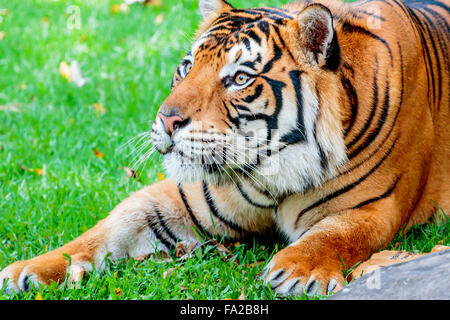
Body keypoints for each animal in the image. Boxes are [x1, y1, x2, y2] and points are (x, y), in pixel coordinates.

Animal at [0, 0, 450, 296]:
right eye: (186, 67)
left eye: (238, 79)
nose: (167, 119)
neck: (271, 173)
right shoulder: (181, 197)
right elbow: (103, 231)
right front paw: (27, 270)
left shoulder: (372, 208)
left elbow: (335, 235)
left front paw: (295, 270)